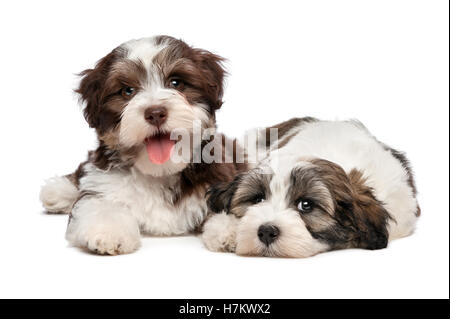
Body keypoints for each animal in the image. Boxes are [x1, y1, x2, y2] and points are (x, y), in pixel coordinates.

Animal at [40, 35, 246, 255]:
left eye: (176, 82)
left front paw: (235, 230)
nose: (155, 113)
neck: (159, 173)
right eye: (128, 91)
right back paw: (58, 191)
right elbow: (99, 204)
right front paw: (108, 231)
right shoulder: (102, 183)